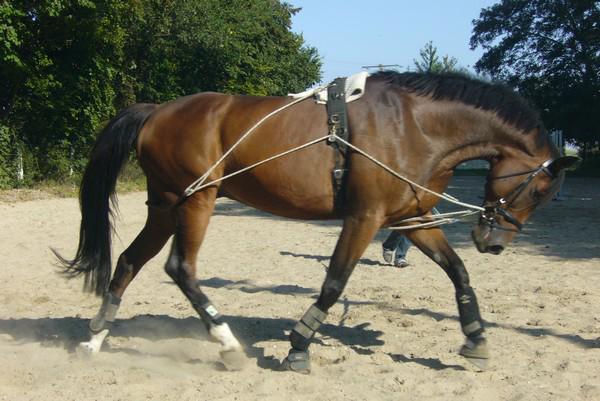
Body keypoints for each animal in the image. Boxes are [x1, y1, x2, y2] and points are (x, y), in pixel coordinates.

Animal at [56, 71, 576, 372]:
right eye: (540, 190)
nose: (494, 241)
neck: (415, 126)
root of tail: (156, 112)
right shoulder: (365, 217)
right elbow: (334, 282)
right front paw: (299, 345)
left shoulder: (412, 217)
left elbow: (459, 273)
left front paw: (476, 339)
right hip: (196, 202)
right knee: (180, 269)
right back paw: (228, 346)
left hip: (167, 206)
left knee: (129, 262)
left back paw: (95, 340)